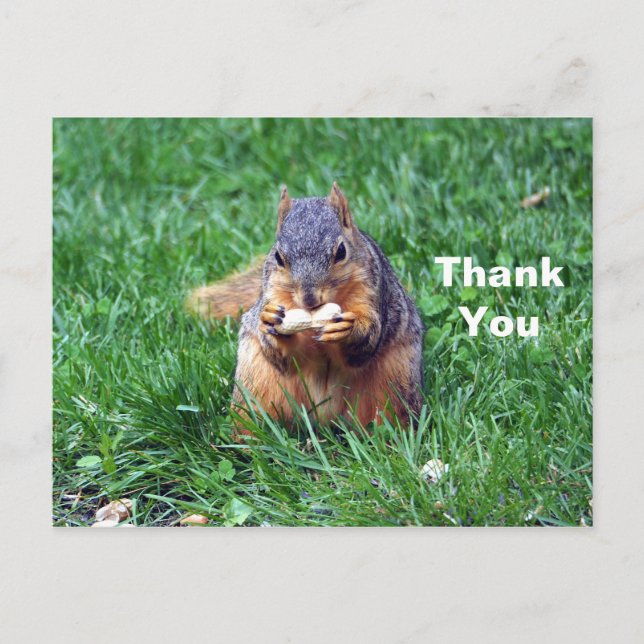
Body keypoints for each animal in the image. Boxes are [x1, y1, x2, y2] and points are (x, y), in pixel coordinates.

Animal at [187, 183, 424, 430]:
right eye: (278, 257)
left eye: (341, 252)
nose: (310, 299)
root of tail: (323, 419)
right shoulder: (273, 293)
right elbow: (283, 357)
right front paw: (271, 322)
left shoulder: (372, 293)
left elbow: (366, 342)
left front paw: (348, 329)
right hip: (257, 383)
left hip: (393, 381)